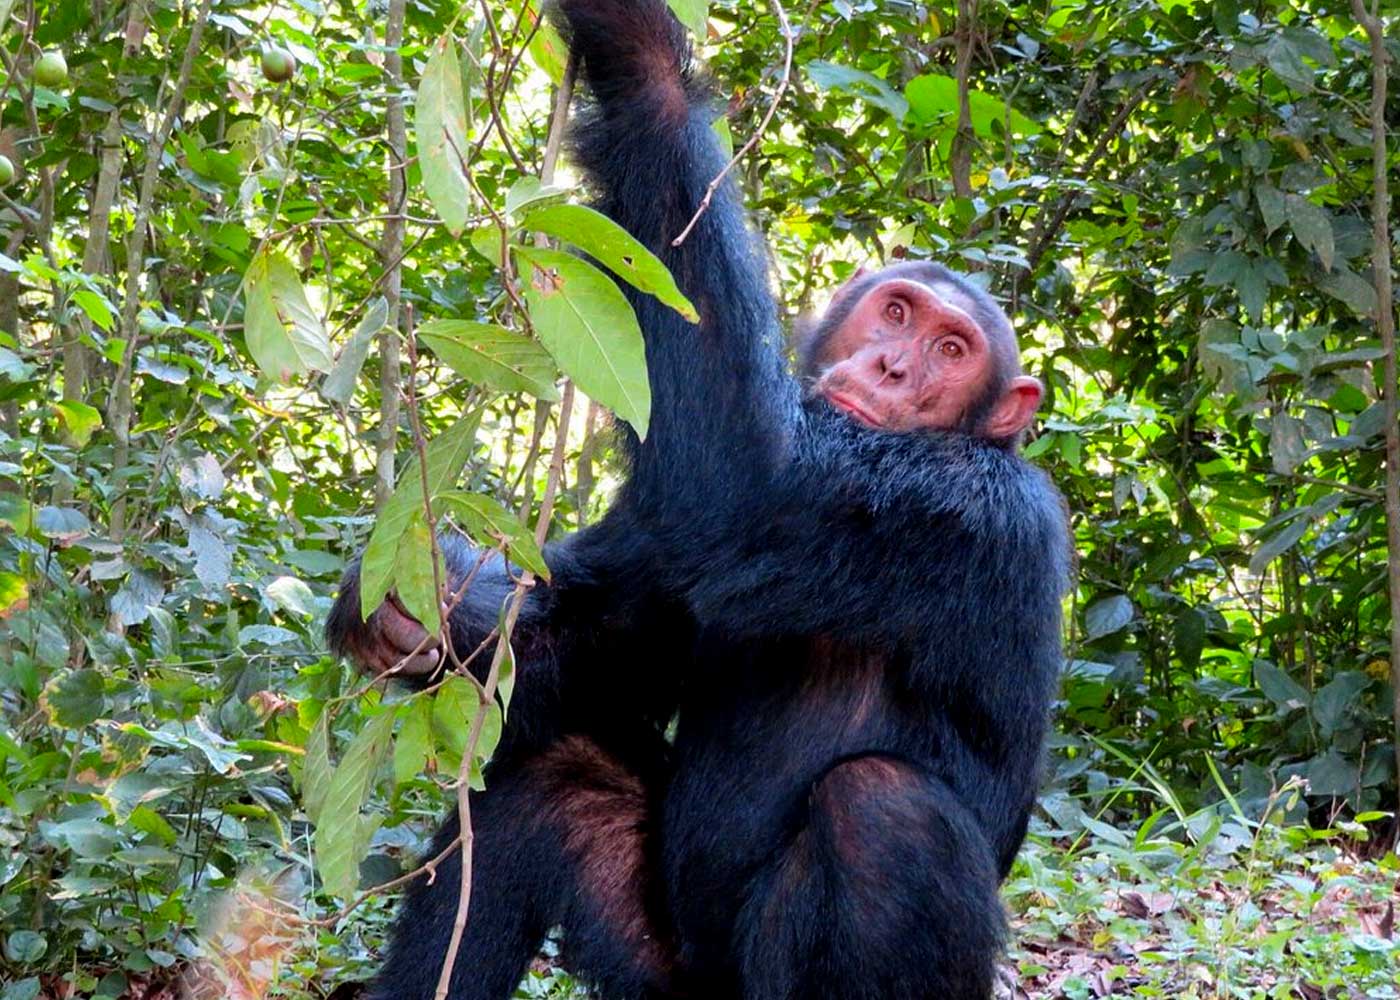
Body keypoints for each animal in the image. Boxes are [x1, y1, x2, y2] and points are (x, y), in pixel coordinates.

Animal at [327, 1, 1069, 997]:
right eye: (898, 314)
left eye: (954, 352)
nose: (894, 367)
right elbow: (605, 642)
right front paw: (417, 608)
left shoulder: (960, 510)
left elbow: (747, 485)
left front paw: (636, 44)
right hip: (660, 970)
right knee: (552, 772)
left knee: (884, 809)